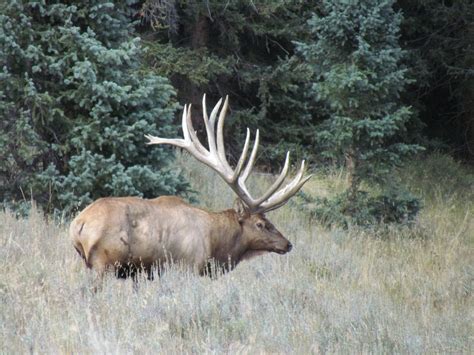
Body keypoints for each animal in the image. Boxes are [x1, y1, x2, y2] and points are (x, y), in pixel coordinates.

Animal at [70, 94, 312, 280]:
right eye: (261, 224)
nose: (287, 244)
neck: (215, 244)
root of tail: (78, 224)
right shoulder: (187, 266)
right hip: (103, 263)